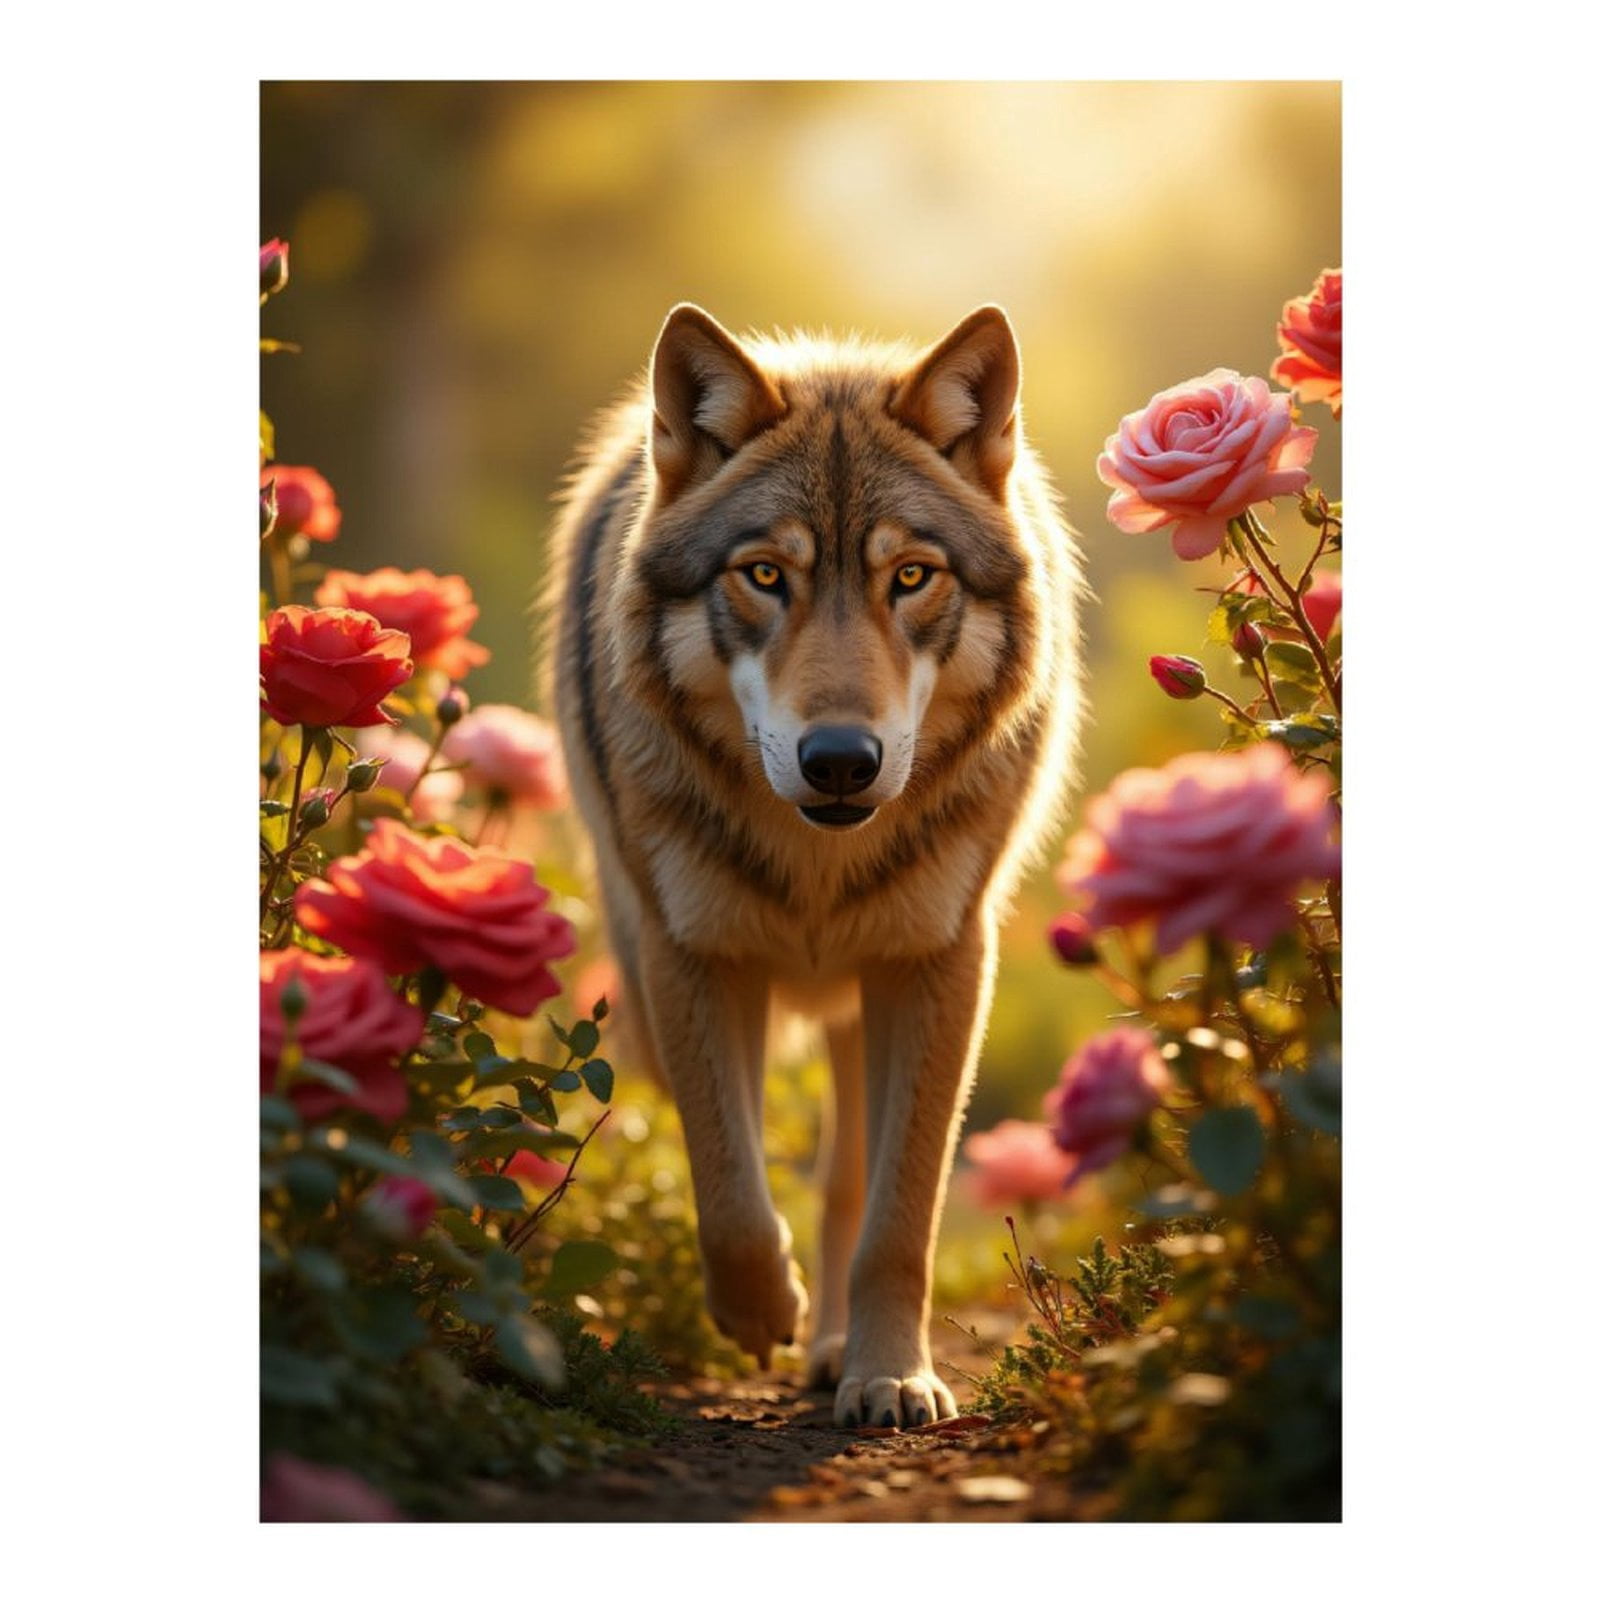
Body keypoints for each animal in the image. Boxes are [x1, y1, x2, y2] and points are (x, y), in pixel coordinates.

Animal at [543, 303, 1082, 1427]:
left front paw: (890, 1374)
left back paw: (840, 1350)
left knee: (847, 1176)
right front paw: (761, 1315)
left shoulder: (940, 964)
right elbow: (729, 1183)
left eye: (910, 576)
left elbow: (899, 1217)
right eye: (764, 575)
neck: (818, 869)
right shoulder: (690, 959)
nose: (840, 759)